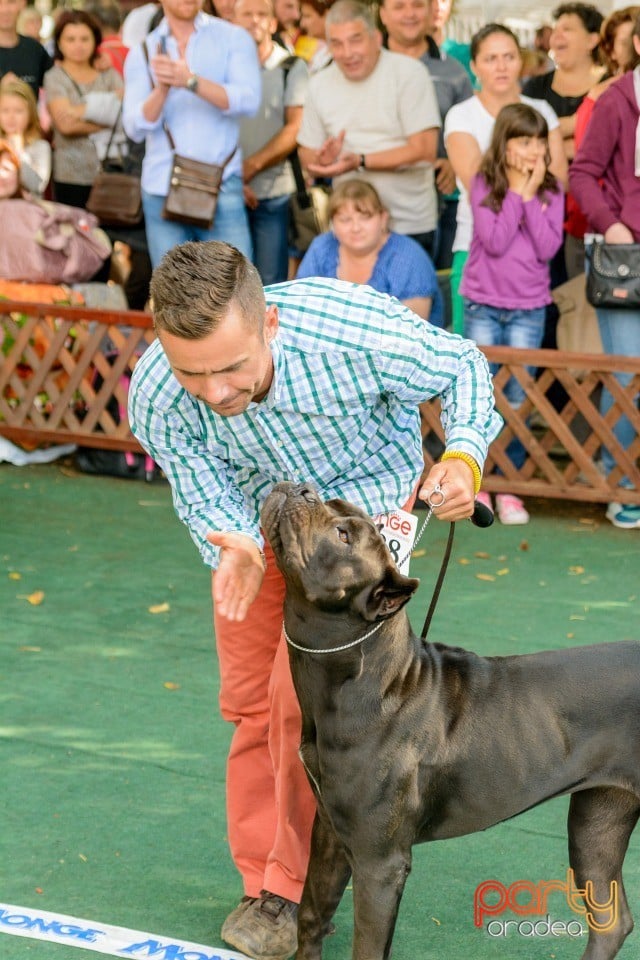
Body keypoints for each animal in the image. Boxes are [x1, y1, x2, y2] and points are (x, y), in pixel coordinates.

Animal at [260, 480, 640, 960]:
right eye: (335, 505)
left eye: (344, 536)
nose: (302, 487)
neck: (366, 681)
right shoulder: (329, 829)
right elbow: (312, 916)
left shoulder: (379, 863)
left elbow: (367, 946)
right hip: (598, 822)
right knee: (611, 921)